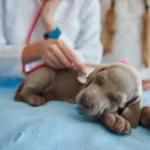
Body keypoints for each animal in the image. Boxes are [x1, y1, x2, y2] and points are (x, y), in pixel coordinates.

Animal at [14, 62, 144, 134]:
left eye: (116, 100)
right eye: (98, 79)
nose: (85, 101)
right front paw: (116, 119)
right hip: (46, 74)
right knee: (26, 89)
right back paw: (34, 98)